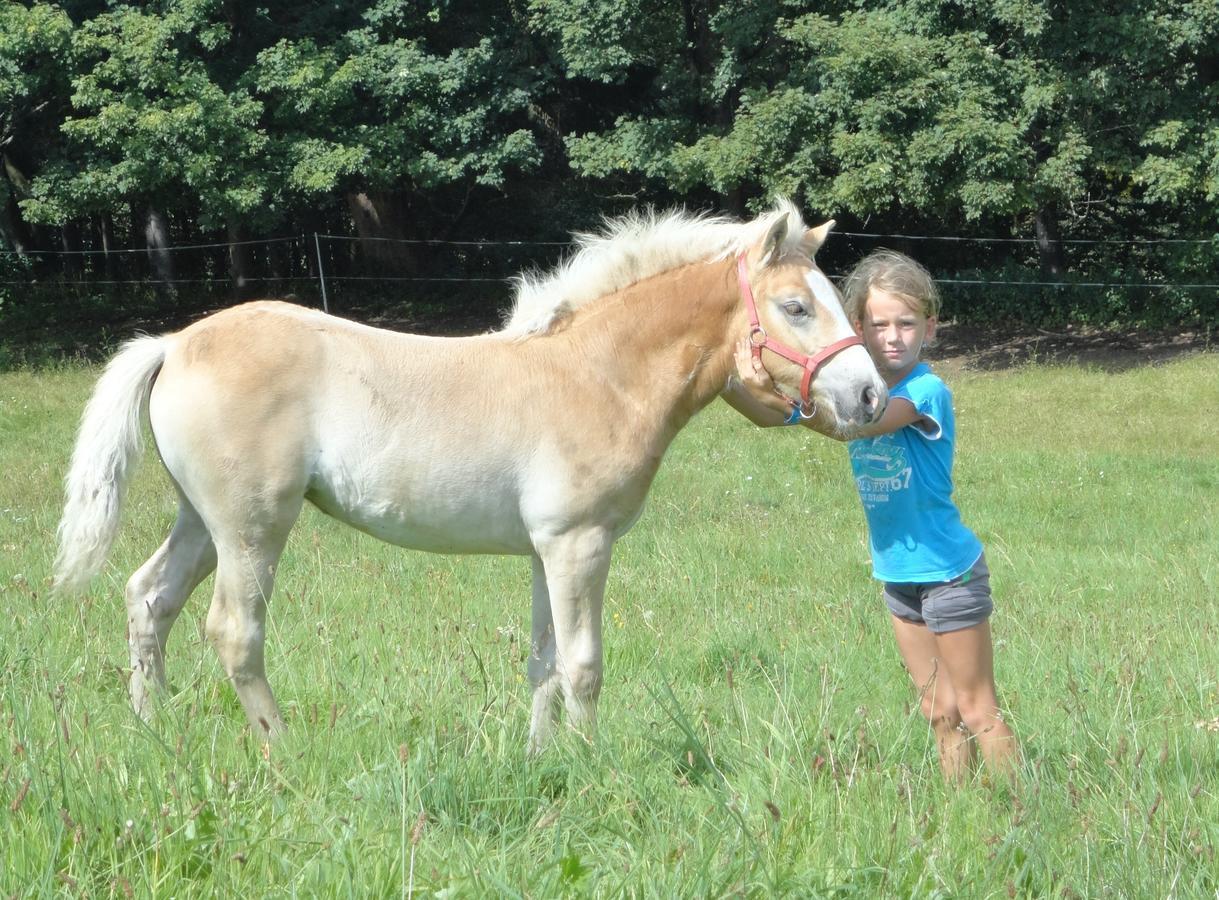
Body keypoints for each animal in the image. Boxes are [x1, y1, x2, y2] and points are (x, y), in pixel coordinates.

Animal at [54, 201, 887, 751]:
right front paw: (596, 767)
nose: (868, 397)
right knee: (233, 632)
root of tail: (172, 343)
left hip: (202, 522)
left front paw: (543, 762)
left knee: (149, 599)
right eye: (794, 306)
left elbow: (543, 664)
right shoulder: (580, 545)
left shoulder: (545, 551)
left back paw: (154, 731)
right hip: (252, 529)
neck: (596, 373)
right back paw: (280, 749)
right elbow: (583, 665)